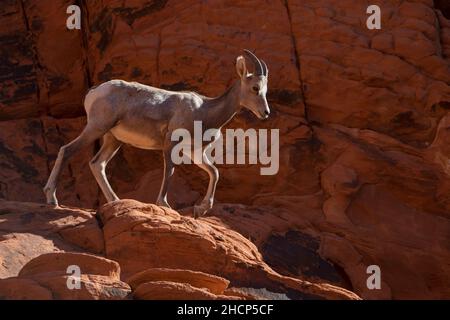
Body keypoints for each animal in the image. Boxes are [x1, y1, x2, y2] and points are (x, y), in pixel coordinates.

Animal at [44, 48, 270, 216]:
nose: (265, 113)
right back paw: (52, 199)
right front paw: (164, 204)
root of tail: (94, 92)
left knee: (97, 164)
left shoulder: (194, 152)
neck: (204, 110)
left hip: (113, 140)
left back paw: (116, 201)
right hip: (96, 128)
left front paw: (201, 209)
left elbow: (214, 172)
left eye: (265, 90)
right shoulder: (171, 144)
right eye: (255, 88)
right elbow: (169, 171)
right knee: (67, 150)